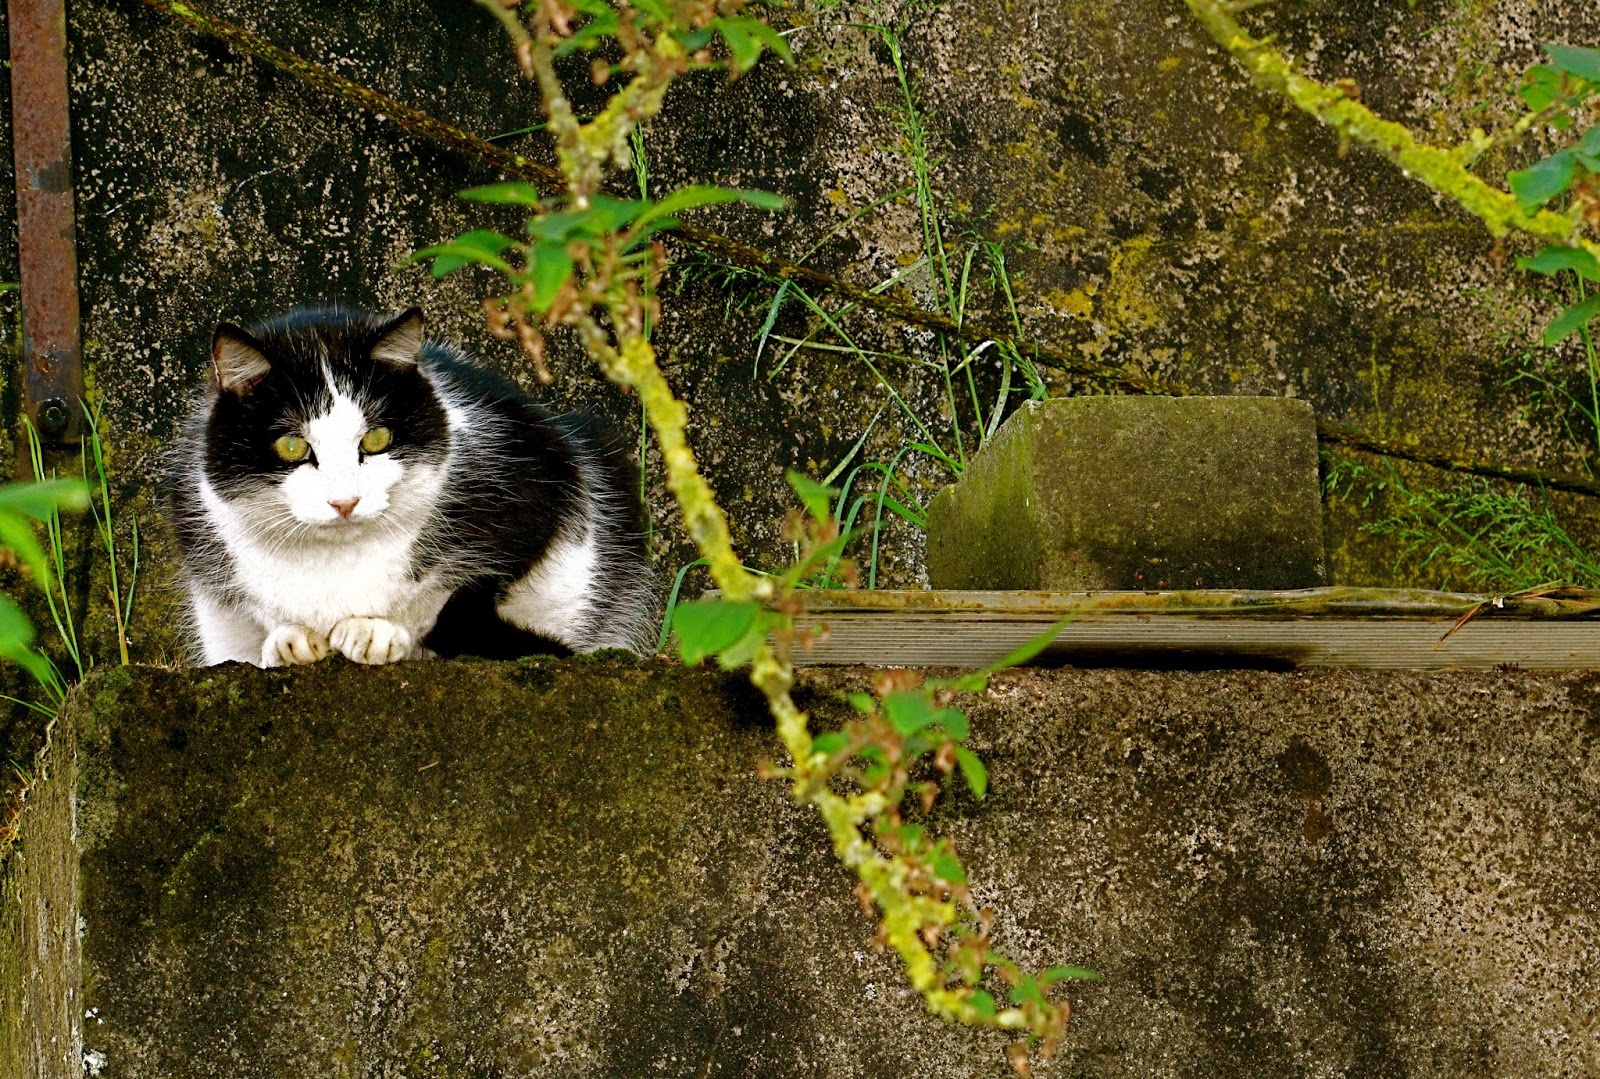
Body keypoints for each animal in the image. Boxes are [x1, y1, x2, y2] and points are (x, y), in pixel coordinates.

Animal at [165, 305, 654, 667]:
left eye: (376, 439)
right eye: (291, 445)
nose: (345, 502)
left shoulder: (536, 488)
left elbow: (454, 597)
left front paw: (379, 633)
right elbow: (259, 607)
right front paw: (290, 641)